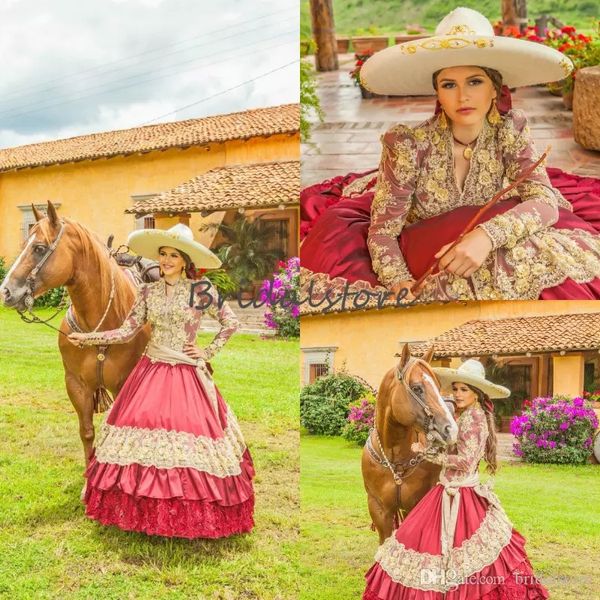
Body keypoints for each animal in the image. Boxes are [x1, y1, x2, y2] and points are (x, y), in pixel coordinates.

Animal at [364, 342, 458, 544]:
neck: (395, 459)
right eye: (417, 388)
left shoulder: (414, 505)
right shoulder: (379, 509)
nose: (450, 429)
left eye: (438, 386)